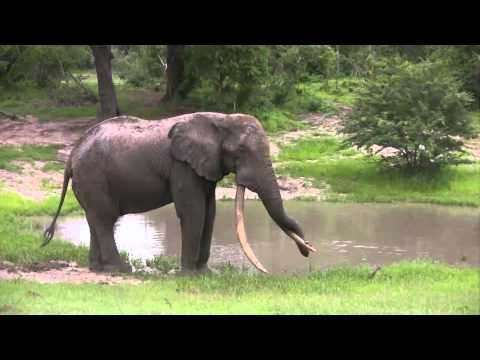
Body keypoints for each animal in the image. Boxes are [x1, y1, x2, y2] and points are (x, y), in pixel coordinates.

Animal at [43, 112, 316, 272]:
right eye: (240, 152)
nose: (308, 250)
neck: (221, 119)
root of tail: (72, 155)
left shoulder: (204, 164)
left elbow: (210, 211)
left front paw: (204, 273)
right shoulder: (182, 165)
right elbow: (194, 211)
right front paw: (189, 274)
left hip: (89, 180)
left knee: (95, 218)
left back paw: (99, 269)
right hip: (93, 176)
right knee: (104, 218)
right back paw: (120, 270)